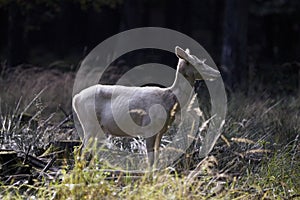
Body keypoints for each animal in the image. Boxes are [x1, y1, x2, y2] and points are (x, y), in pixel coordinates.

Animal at [71, 46, 219, 166]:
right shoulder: (149, 127)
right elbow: (150, 158)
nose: (217, 73)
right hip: (89, 123)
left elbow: (157, 157)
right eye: (199, 62)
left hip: (96, 128)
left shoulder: (162, 130)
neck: (169, 99)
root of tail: (76, 98)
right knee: (81, 151)